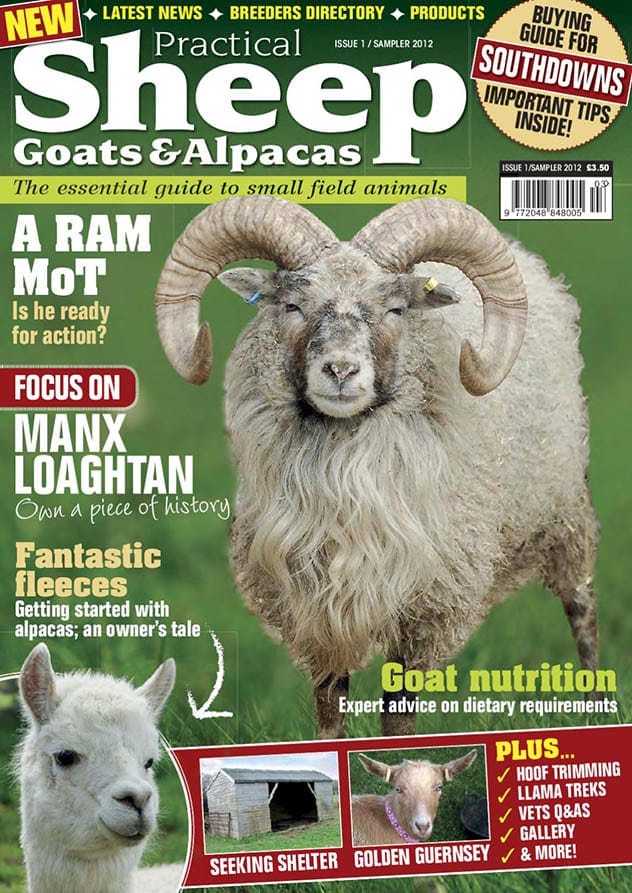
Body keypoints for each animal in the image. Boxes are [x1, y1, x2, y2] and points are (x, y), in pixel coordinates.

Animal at [155, 195, 599, 738]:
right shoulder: (314, 606)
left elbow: (398, 712)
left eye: (395, 309)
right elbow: (329, 704)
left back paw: (597, 706)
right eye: (291, 306)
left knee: (582, 611)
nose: (341, 370)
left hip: (566, 516)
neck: (344, 487)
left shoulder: (425, 605)